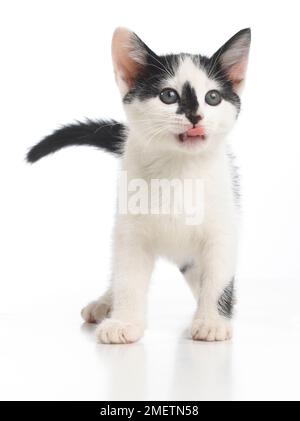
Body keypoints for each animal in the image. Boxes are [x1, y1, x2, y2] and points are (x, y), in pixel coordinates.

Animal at [26, 26, 251, 342]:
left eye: (213, 97)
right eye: (168, 95)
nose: (196, 116)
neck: (178, 169)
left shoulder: (223, 226)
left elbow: (218, 276)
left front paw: (212, 321)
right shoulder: (130, 230)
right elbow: (128, 276)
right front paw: (124, 322)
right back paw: (106, 302)